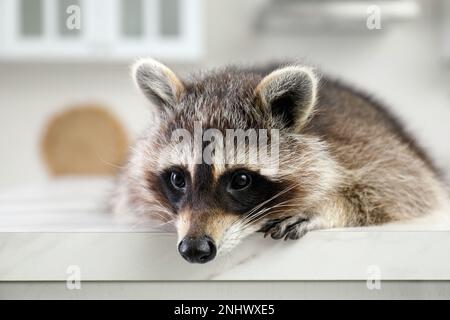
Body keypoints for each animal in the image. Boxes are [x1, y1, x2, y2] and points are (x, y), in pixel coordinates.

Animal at [111, 58, 446, 264]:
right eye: (178, 178)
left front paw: (329, 204)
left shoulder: (364, 146)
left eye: (241, 180)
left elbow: (403, 185)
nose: (195, 249)